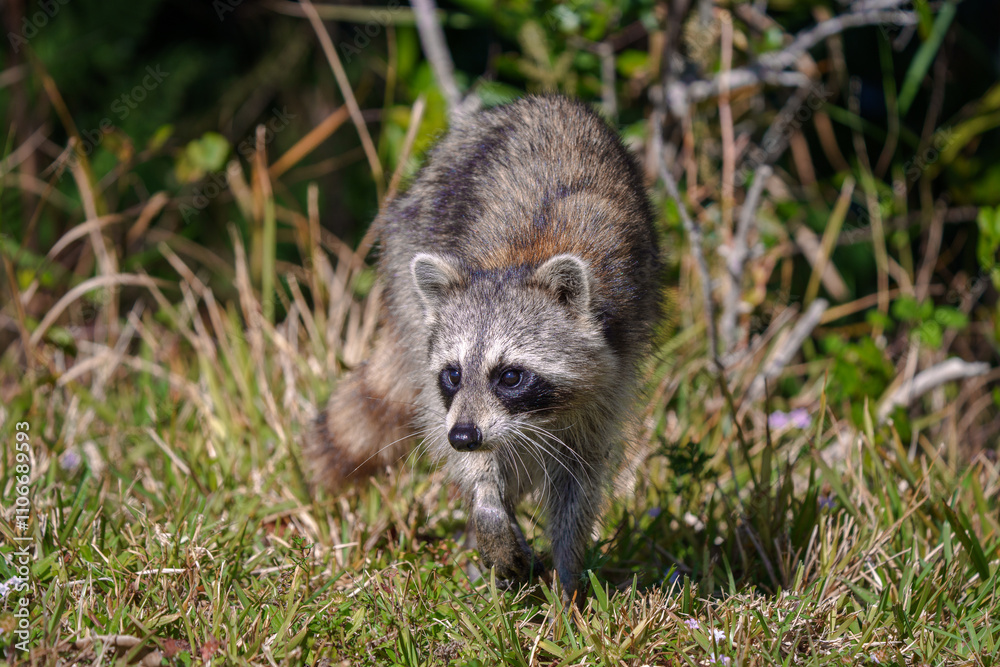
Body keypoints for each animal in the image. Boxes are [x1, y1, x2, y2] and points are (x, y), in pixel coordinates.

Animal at [305, 95, 661, 600]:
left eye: (510, 376)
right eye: (453, 374)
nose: (464, 436)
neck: (521, 261)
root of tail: (546, 100)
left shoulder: (612, 372)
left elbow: (576, 479)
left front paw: (568, 580)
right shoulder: (450, 399)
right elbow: (472, 459)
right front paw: (490, 512)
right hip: (410, 244)